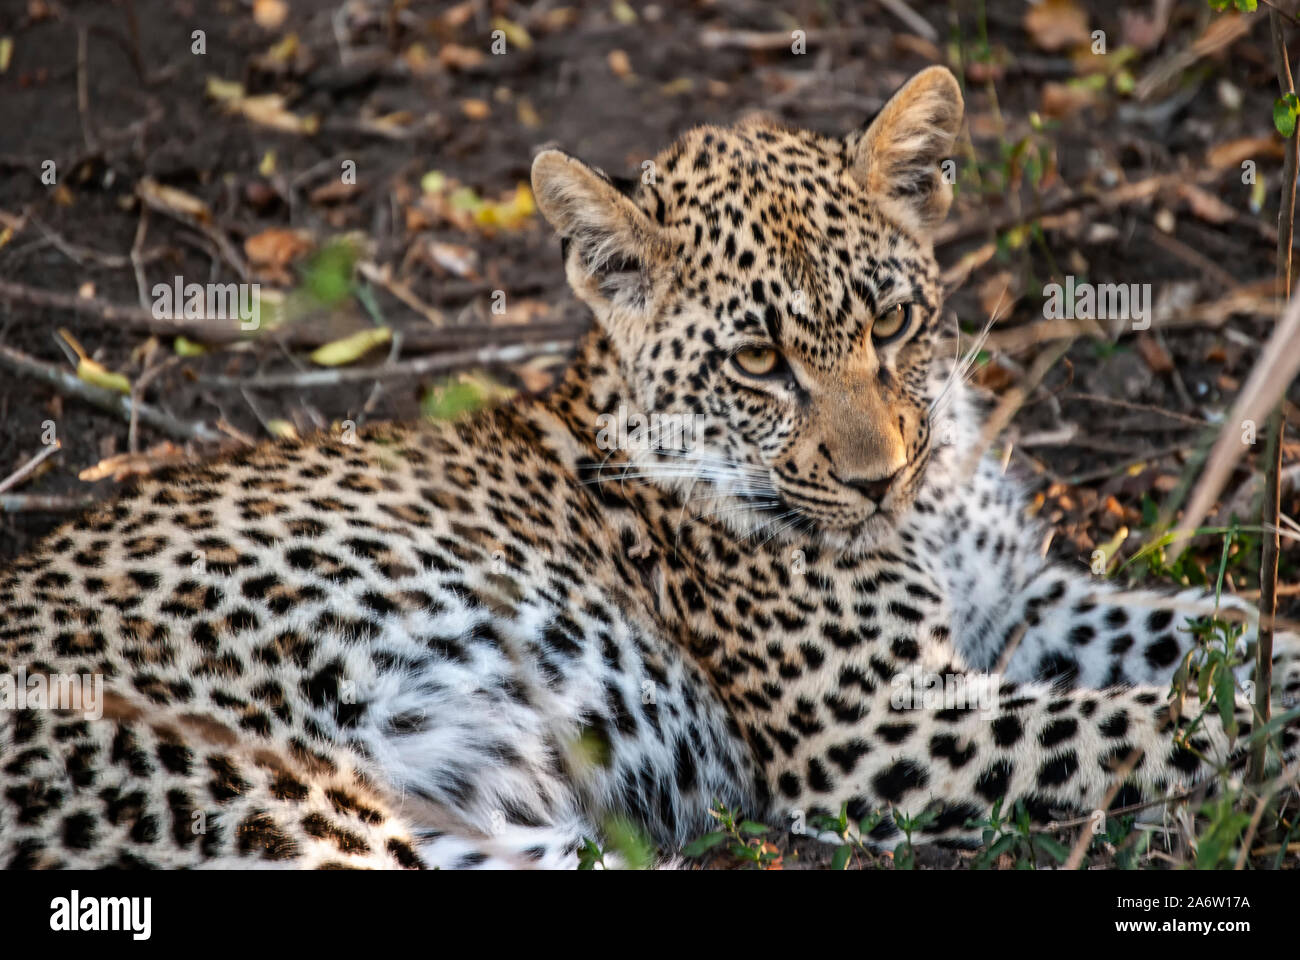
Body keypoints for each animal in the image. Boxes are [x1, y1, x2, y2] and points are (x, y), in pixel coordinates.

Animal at [3, 66, 1299, 869]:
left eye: (890, 323)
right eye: (760, 359)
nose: (876, 481)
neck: (929, 505)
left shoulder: (1017, 604)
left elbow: (1210, 632)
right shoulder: (873, 724)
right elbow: (1152, 723)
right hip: (279, 807)